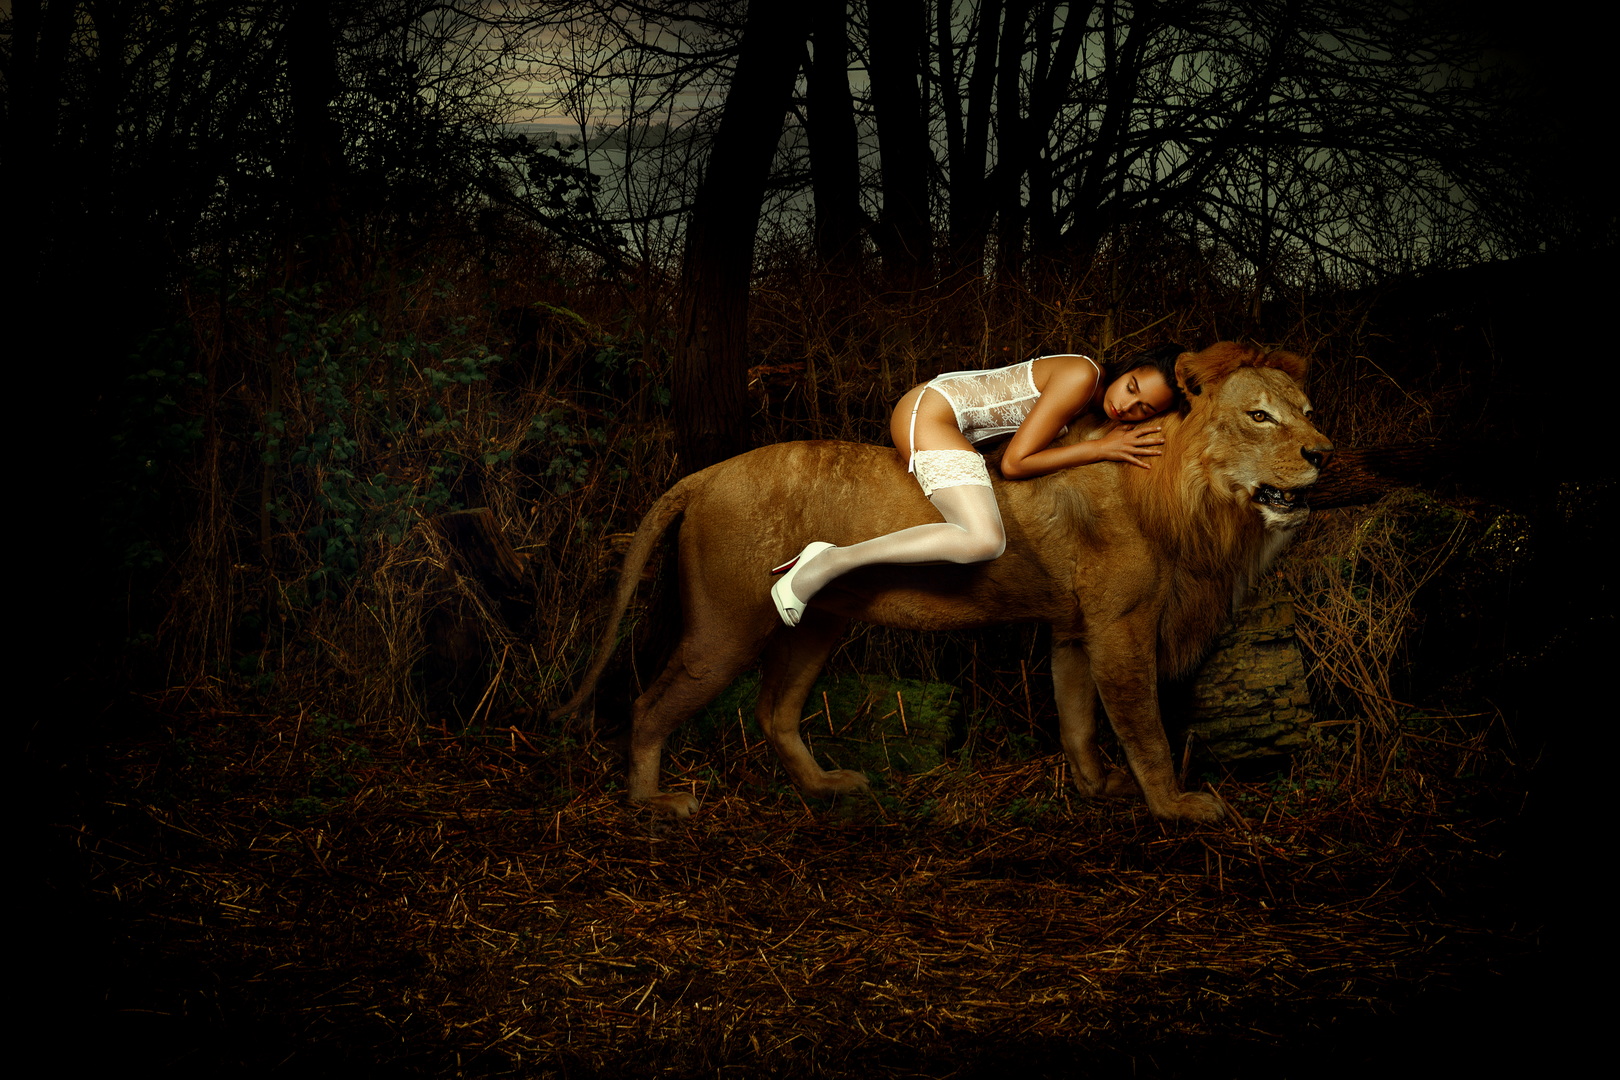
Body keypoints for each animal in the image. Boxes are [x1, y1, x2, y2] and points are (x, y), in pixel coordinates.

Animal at [558, 342, 1332, 823]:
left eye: (1308, 410)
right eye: (1259, 414)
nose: (1324, 453)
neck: (1183, 494)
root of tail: (706, 473)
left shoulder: (1075, 628)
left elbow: (1077, 716)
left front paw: (1093, 785)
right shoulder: (1121, 625)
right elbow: (1142, 728)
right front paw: (1174, 806)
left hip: (820, 627)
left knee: (775, 711)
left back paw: (824, 786)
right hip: (724, 626)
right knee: (649, 703)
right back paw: (653, 802)